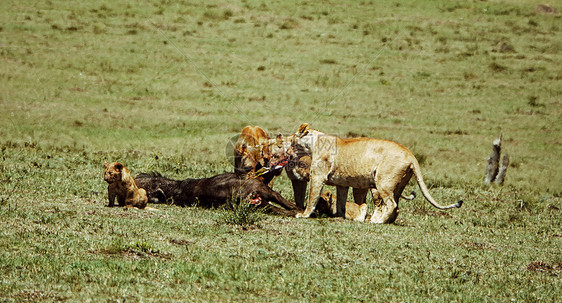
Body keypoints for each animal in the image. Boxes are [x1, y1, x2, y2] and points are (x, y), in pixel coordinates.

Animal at [288, 124, 460, 224]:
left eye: (291, 140)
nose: (288, 149)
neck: (313, 143)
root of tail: (410, 154)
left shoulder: (317, 177)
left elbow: (312, 197)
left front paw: (303, 215)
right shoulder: (342, 183)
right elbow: (341, 201)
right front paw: (340, 215)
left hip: (383, 182)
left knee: (391, 203)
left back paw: (376, 221)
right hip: (398, 185)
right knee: (396, 206)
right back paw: (382, 221)